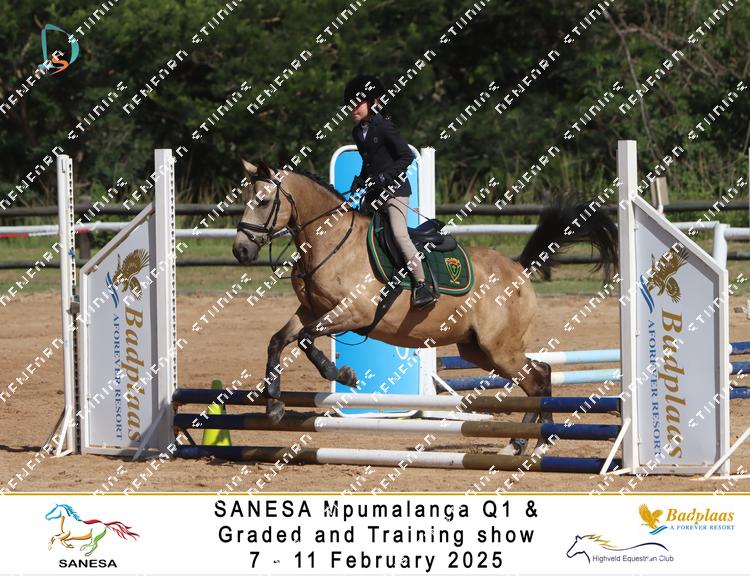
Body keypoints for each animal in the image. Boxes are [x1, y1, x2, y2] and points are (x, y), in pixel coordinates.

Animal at [232, 160, 617, 456]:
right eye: (245, 200)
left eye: (263, 201)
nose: (240, 251)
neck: (328, 240)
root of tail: (518, 268)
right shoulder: (311, 310)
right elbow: (279, 340)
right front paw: (275, 405)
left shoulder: (353, 313)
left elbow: (307, 341)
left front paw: (344, 374)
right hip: (479, 351)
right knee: (538, 377)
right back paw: (517, 444)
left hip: (500, 348)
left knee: (538, 378)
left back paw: (541, 443)